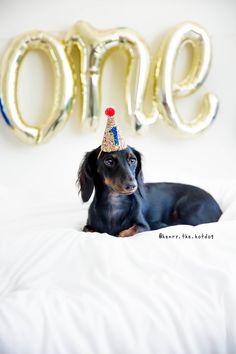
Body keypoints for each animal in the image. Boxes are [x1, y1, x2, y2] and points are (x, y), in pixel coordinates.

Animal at [77, 145, 221, 236]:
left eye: (132, 160)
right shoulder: (87, 228)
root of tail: (219, 208)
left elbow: (127, 232)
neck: (115, 204)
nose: (132, 185)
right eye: (109, 161)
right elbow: (89, 229)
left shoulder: (143, 226)